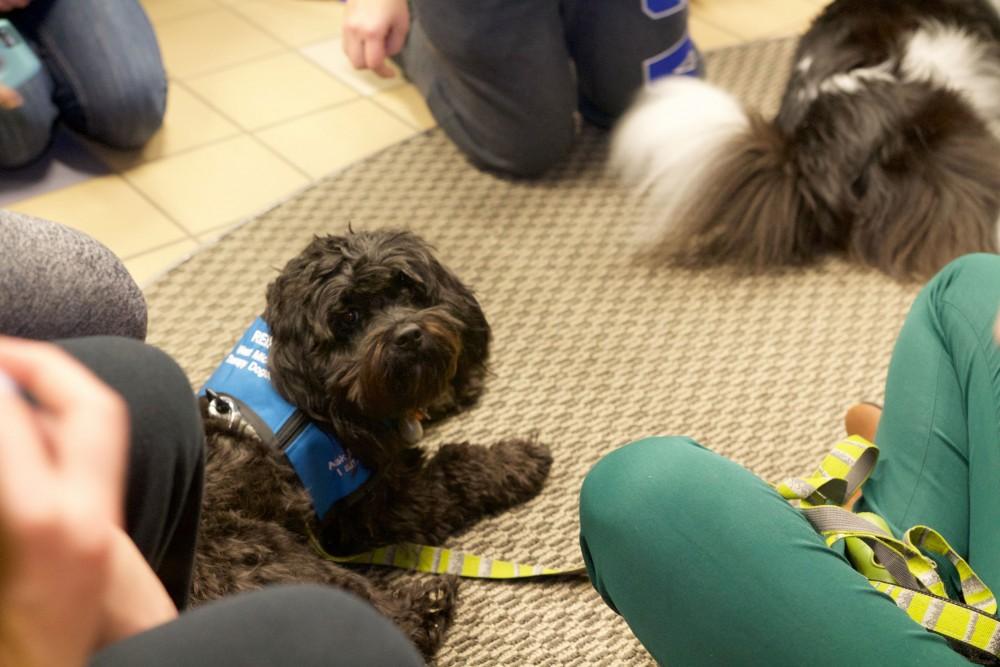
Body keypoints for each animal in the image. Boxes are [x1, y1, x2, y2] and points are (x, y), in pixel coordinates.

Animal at [191, 231, 552, 656]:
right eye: (348, 318)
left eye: (406, 288)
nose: (408, 335)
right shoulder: (373, 507)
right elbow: (451, 471)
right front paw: (515, 460)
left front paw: (457, 383)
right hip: (265, 558)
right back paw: (428, 607)